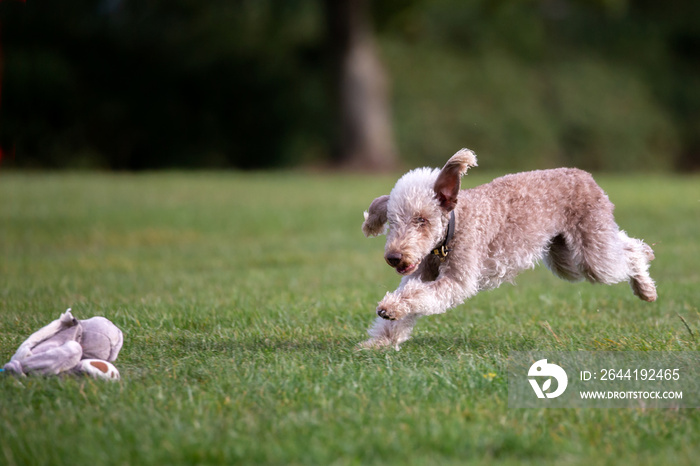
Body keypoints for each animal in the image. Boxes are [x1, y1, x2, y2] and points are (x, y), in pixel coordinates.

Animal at [360, 149, 656, 350]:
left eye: (421, 220)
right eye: (391, 222)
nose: (393, 257)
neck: (449, 234)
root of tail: (584, 175)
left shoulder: (457, 278)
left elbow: (418, 296)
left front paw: (390, 309)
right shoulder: (420, 273)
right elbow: (411, 295)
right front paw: (382, 339)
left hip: (590, 251)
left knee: (629, 253)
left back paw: (646, 287)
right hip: (564, 257)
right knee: (622, 244)